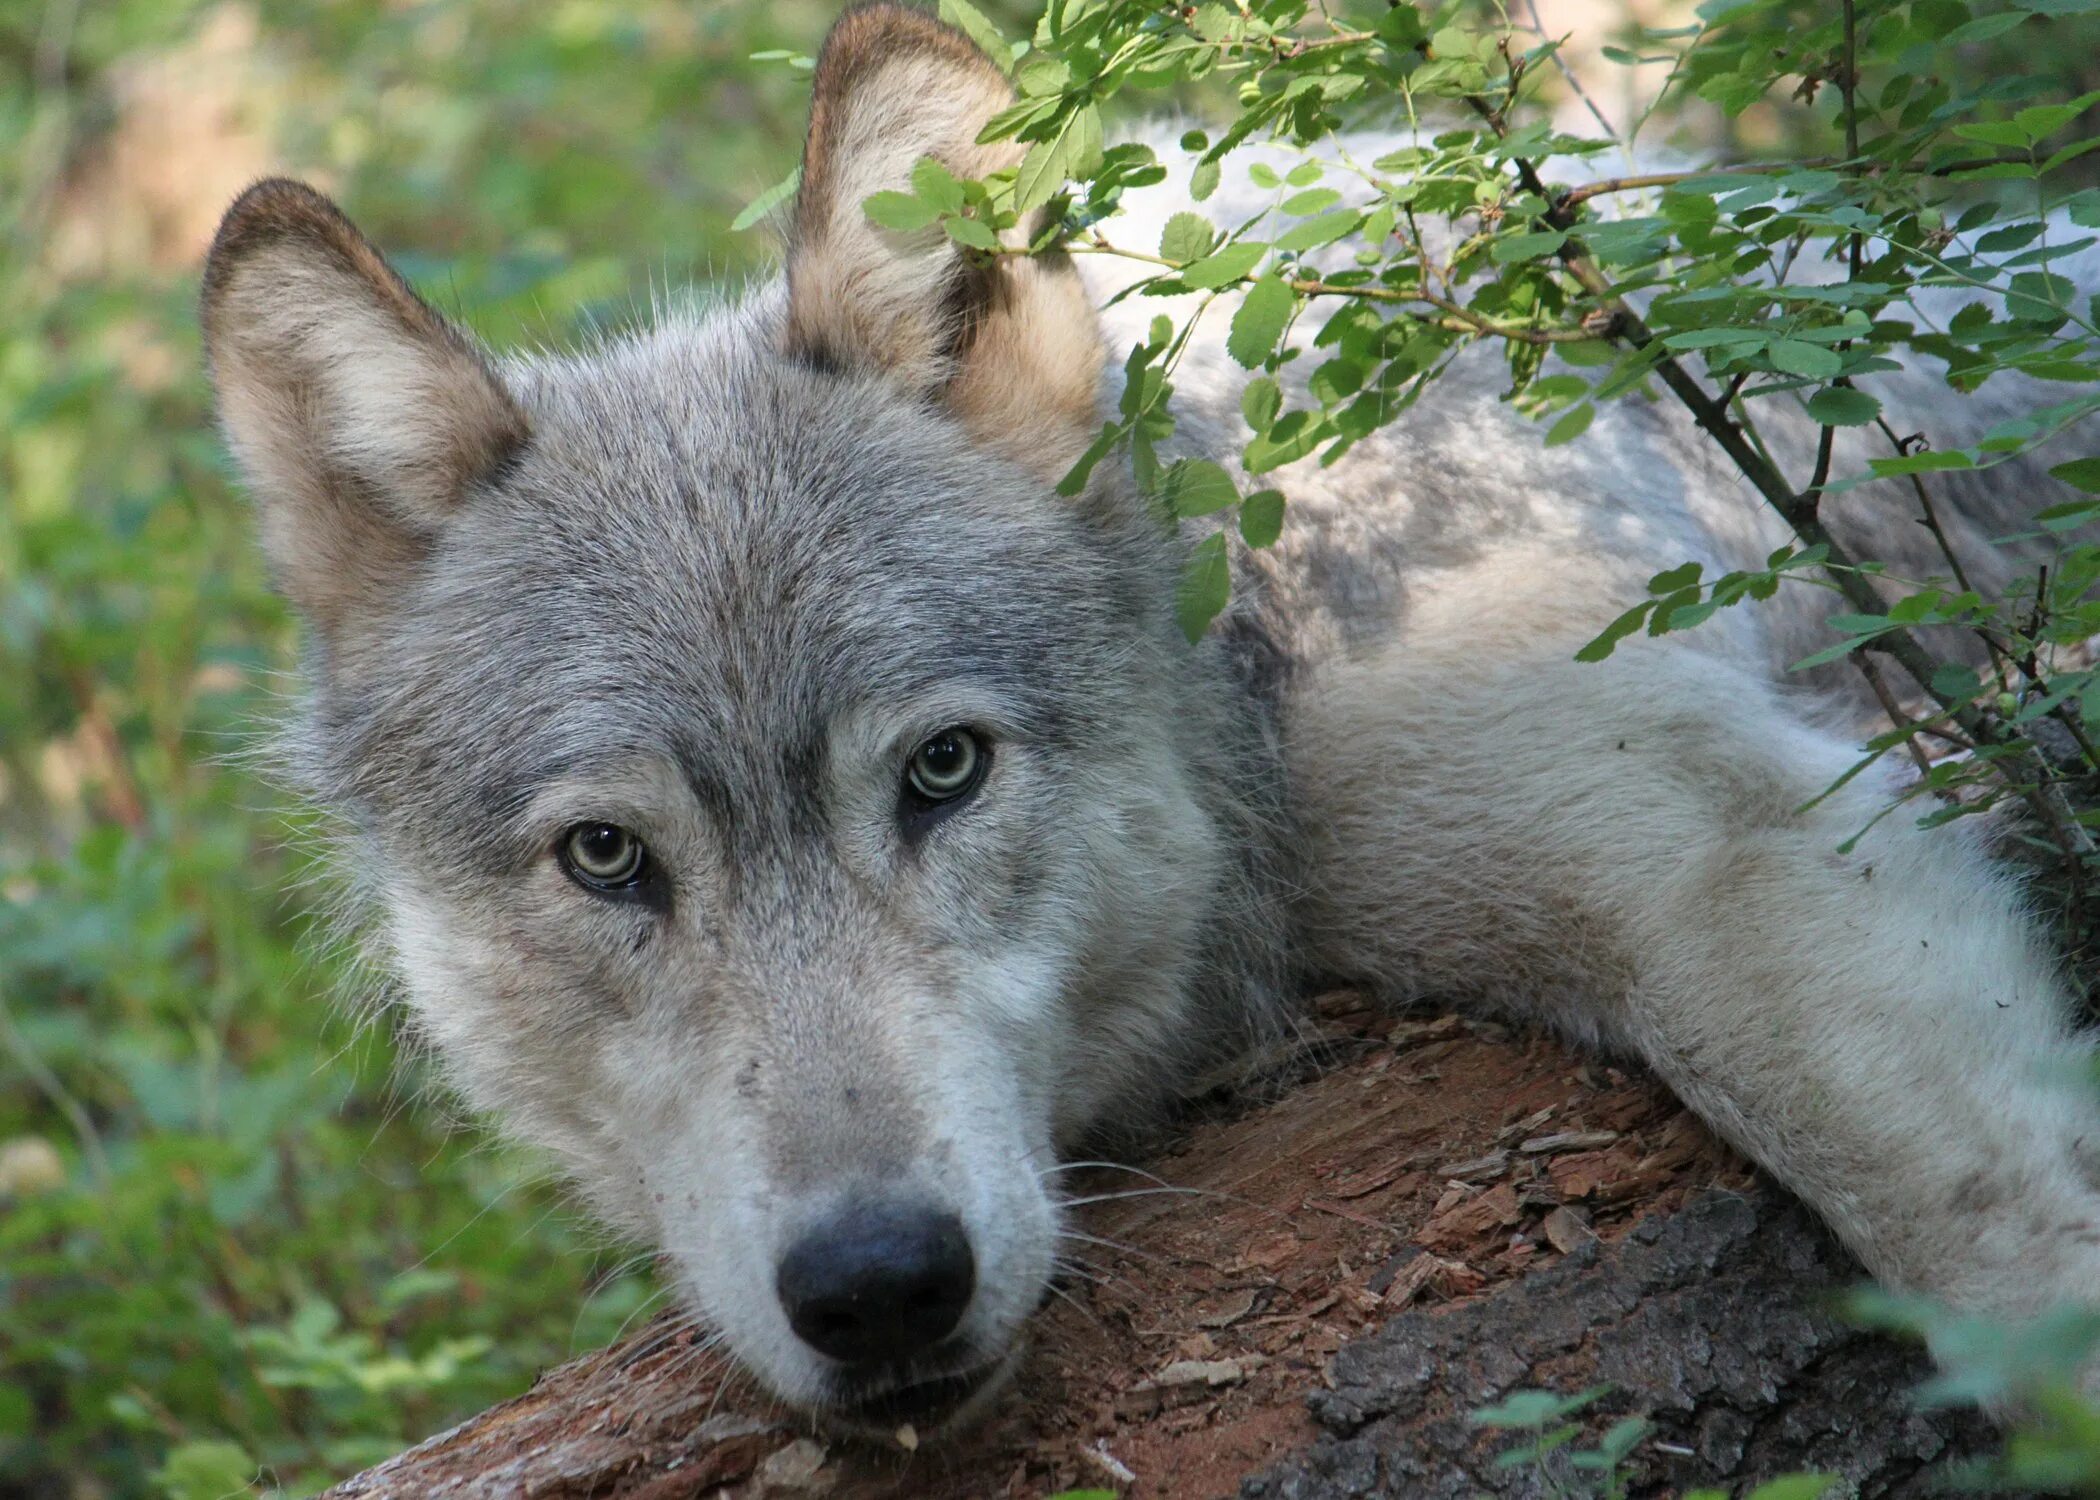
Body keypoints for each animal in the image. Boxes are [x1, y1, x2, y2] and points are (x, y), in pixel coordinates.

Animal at [193, 0, 2100, 1428]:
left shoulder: (1703, 837)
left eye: (943, 770)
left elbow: (2005, 1265)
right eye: (607, 859)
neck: (1249, 614)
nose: (878, 1290)